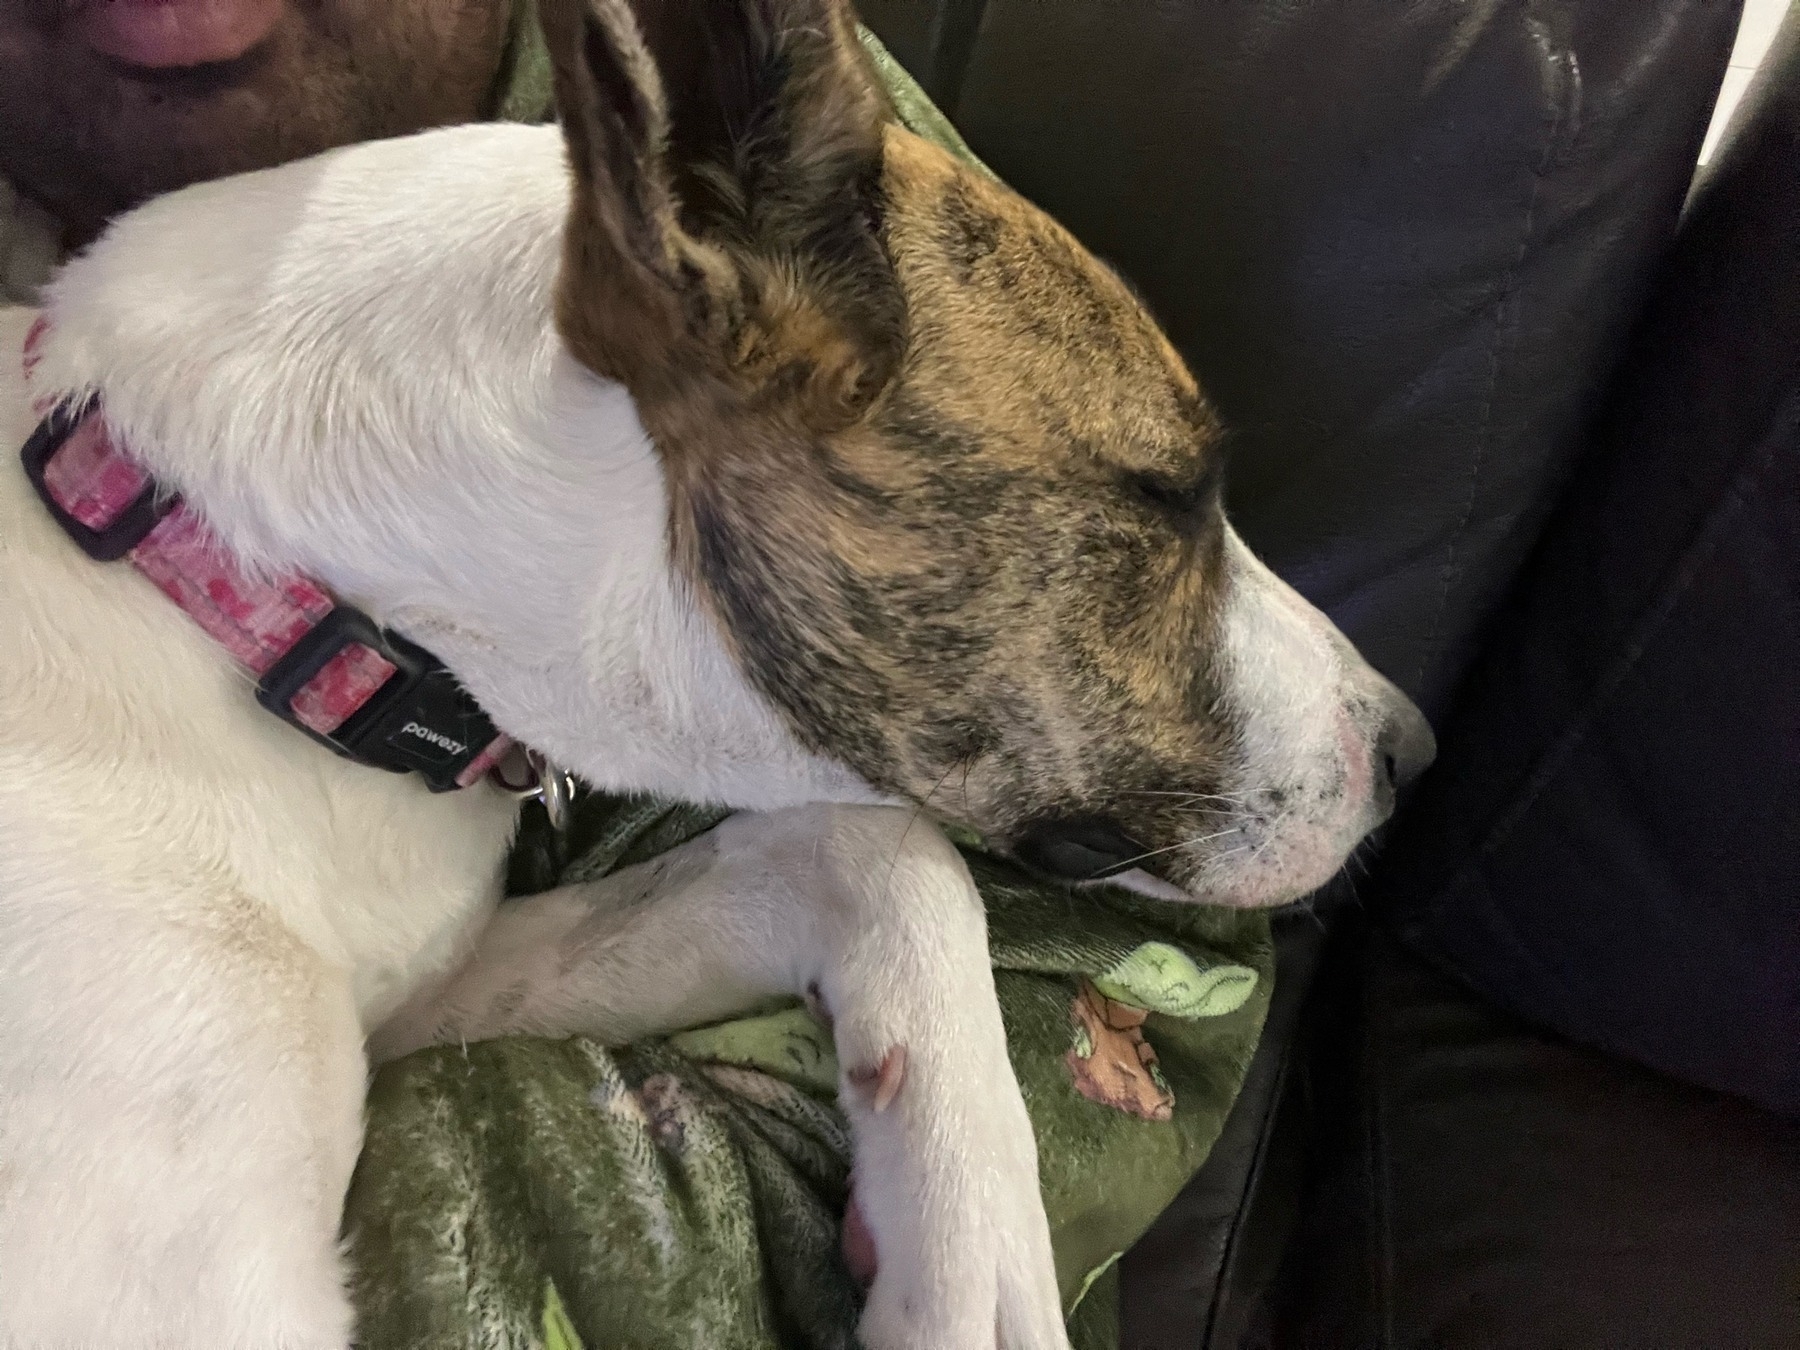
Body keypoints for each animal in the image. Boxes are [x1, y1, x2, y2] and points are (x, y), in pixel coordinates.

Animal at [0, 2, 1432, 1350]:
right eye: (1169, 493)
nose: (1413, 751)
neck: (244, 587)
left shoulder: (442, 993)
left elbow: (880, 850)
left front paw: (965, 1251)